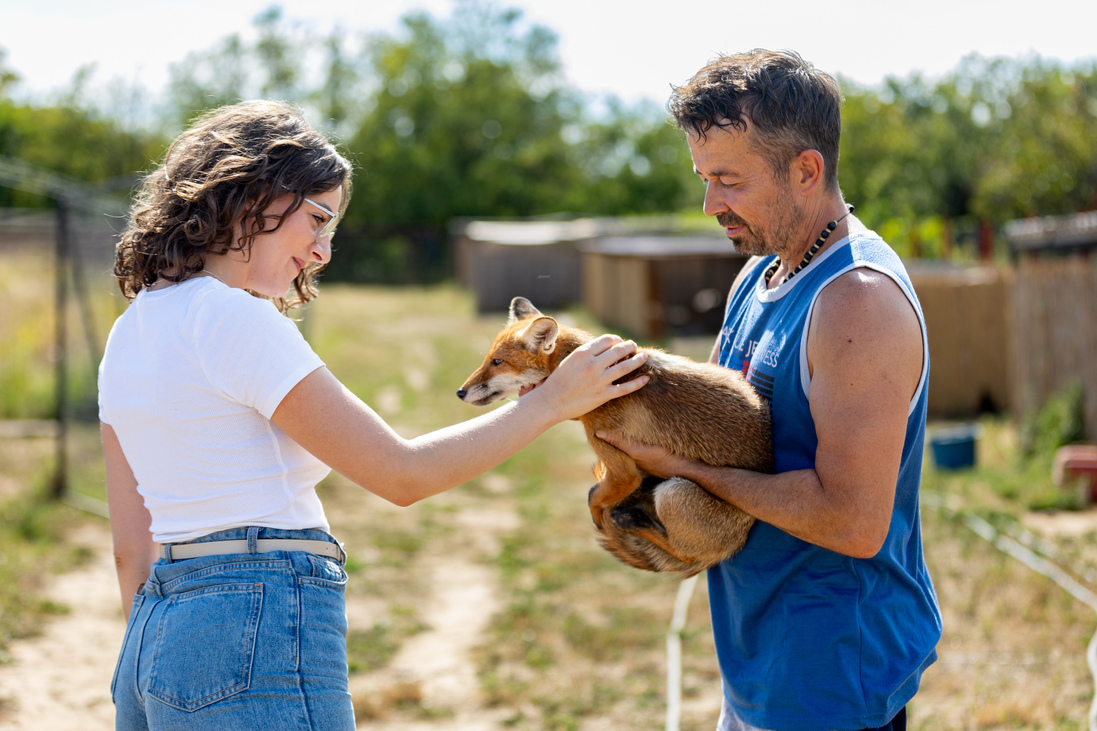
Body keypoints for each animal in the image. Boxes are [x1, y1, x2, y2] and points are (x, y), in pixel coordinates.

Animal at [454, 296, 772, 575]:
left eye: (497, 362)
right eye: (487, 359)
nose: (460, 392)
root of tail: (735, 544)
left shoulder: (620, 469)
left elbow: (595, 496)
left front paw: (599, 519)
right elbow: (597, 491)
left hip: (674, 492)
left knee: (683, 552)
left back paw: (631, 520)